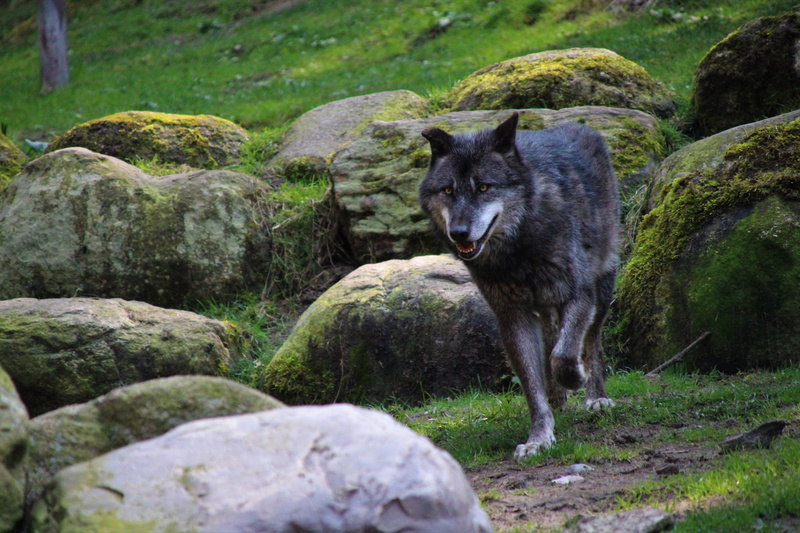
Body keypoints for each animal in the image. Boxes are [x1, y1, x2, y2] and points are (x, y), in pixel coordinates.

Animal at [419, 112, 619, 460]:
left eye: (484, 186)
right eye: (447, 190)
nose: (459, 232)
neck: (519, 248)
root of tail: (581, 128)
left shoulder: (579, 295)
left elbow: (564, 355)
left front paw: (575, 377)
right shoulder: (513, 316)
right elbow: (532, 383)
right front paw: (539, 437)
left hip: (603, 287)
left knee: (590, 340)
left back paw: (595, 395)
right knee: (553, 336)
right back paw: (558, 396)